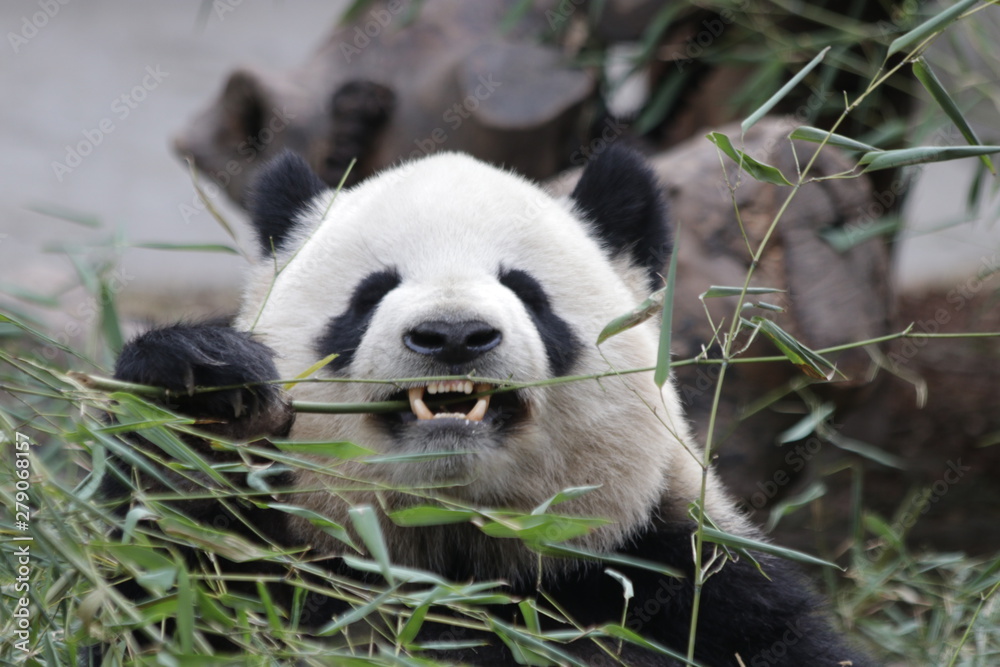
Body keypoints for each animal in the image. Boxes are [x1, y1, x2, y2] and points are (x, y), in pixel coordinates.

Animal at [109, 146, 869, 665]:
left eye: (527, 290)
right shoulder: (282, 566)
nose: (452, 335)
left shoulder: (676, 579)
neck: (456, 560)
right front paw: (206, 390)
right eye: (370, 294)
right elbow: (151, 588)